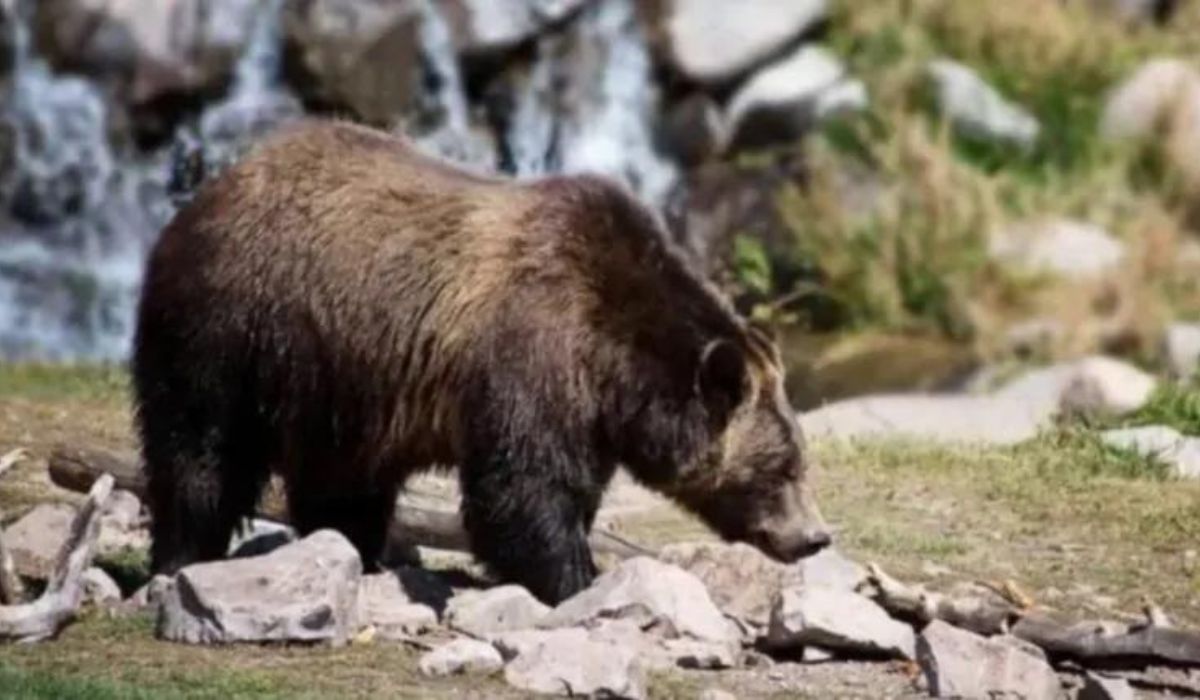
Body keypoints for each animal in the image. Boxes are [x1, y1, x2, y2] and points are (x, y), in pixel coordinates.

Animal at [133, 119, 831, 604]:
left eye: (800, 460)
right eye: (784, 467)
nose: (816, 537)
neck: (616, 363)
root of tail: (211, 189)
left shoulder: (587, 413)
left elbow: (564, 488)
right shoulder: (533, 353)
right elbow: (521, 489)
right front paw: (576, 579)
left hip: (337, 378)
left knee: (342, 479)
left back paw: (355, 551)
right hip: (235, 325)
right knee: (202, 448)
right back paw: (182, 554)